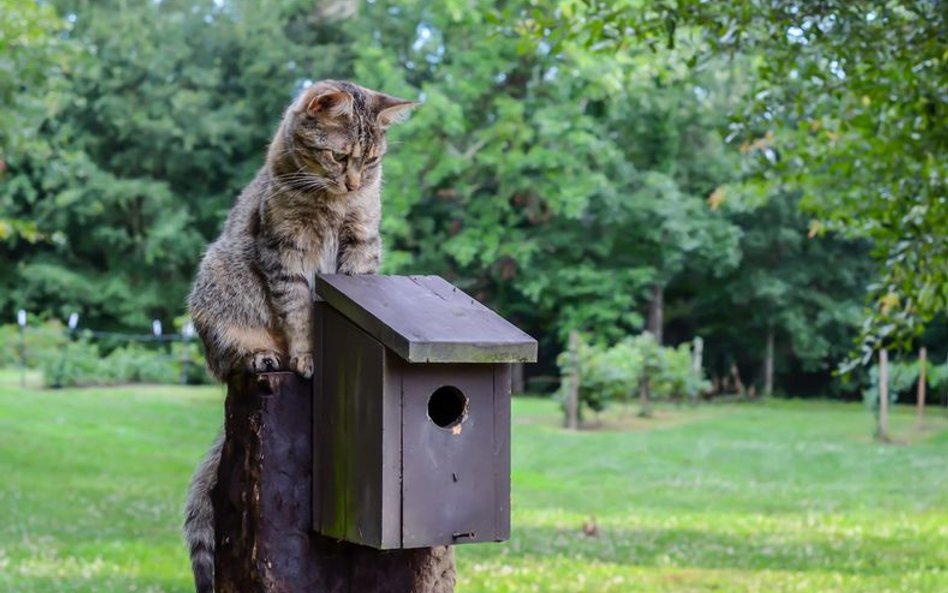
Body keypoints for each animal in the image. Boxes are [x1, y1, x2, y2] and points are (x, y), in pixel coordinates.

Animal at [183, 80, 412, 592]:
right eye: (339, 156)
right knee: (229, 359)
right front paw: (307, 355)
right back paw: (261, 356)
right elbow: (298, 311)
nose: (354, 183)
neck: (332, 202)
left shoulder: (361, 242)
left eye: (371, 160)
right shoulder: (284, 251)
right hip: (217, 282)